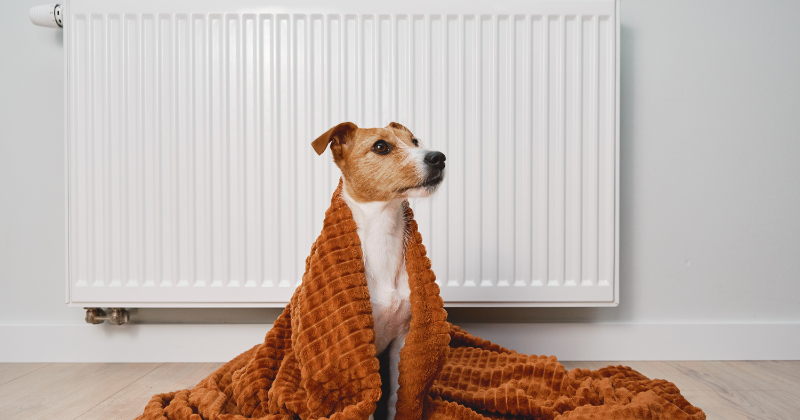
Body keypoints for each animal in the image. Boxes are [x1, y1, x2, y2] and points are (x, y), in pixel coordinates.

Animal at [310, 120, 446, 418]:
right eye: (380, 146)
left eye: (415, 141)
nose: (439, 157)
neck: (383, 232)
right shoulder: (358, 352)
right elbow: (367, 404)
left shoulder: (403, 341)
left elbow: (397, 395)